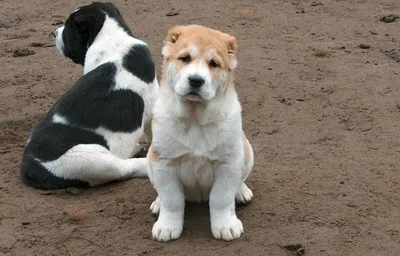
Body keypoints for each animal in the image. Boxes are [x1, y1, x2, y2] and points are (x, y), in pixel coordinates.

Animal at [19, 2, 158, 190]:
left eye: (68, 29)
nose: (54, 32)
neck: (112, 39)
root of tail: (30, 163)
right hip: (89, 160)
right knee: (124, 168)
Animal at [148, 24, 255, 242]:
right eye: (185, 58)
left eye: (214, 63)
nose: (196, 80)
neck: (195, 119)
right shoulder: (163, 161)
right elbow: (172, 199)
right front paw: (167, 226)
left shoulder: (228, 162)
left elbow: (221, 198)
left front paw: (225, 225)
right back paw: (158, 203)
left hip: (247, 152)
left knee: (239, 180)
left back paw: (241, 192)